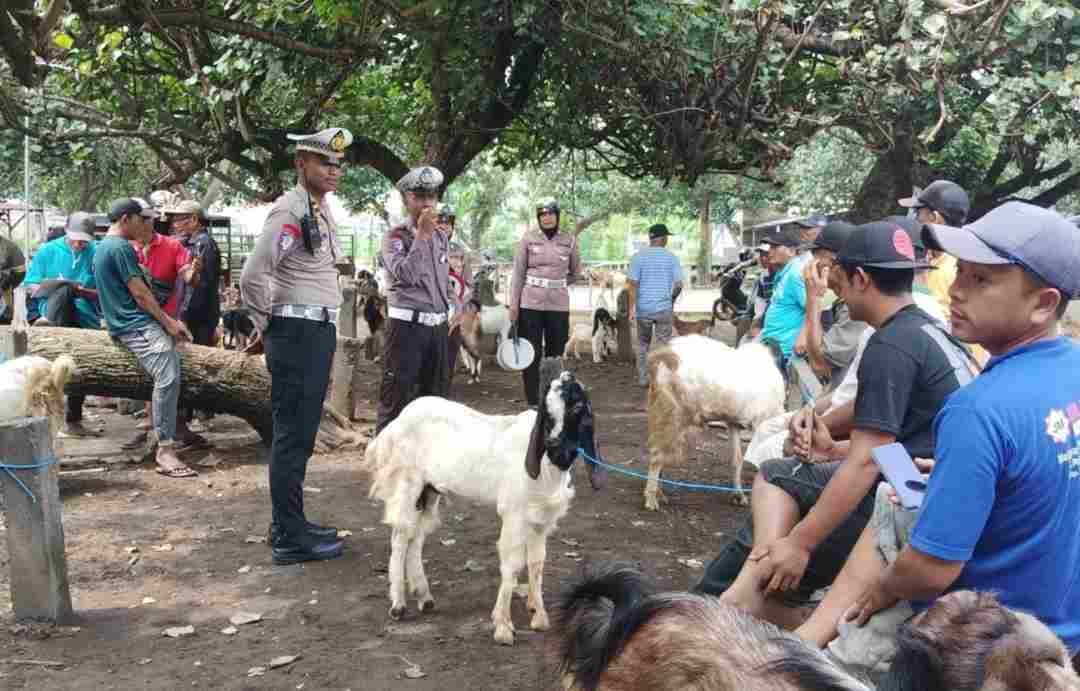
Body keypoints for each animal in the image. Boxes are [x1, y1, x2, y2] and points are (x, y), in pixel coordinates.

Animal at [365, 364, 609, 643]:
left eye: (577, 407)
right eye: (546, 411)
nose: (554, 444)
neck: (547, 467)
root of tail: (396, 423)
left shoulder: (541, 519)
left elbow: (536, 563)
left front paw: (539, 617)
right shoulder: (514, 514)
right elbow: (512, 564)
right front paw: (503, 627)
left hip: (429, 490)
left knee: (416, 536)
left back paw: (424, 596)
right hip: (407, 482)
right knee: (400, 536)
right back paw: (398, 604)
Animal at [639, 336, 786, 509]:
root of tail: (665, 356)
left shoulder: (733, 423)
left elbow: (737, 459)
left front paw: (738, 495)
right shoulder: (760, 422)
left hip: (660, 414)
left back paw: (660, 494)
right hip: (674, 416)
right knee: (657, 455)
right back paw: (651, 500)